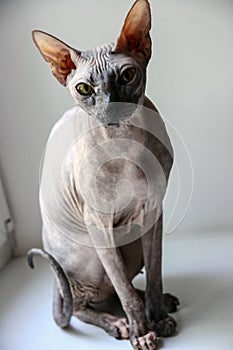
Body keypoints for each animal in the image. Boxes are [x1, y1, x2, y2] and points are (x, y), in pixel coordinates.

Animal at [27, 1, 180, 348]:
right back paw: (118, 324)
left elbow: (154, 273)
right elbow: (123, 291)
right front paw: (142, 331)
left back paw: (161, 303)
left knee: (114, 288)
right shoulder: (98, 222)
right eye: (84, 88)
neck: (127, 143)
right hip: (93, 253)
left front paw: (157, 316)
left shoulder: (154, 210)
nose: (111, 108)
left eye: (128, 75)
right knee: (82, 304)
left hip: (131, 239)